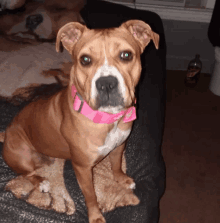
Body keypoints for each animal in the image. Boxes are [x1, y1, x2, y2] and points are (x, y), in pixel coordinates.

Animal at [2, 20, 159, 222]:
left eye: (126, 55)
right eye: (85, 60)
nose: (106, 83)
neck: (108, 119)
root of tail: (6, 132)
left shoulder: (119, 146)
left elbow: (116, 165)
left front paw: (121, 179)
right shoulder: (82, 169)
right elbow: (90, 195)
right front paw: (96, 216)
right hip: (22, 157)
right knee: (28, 173)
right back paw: (42, 182)